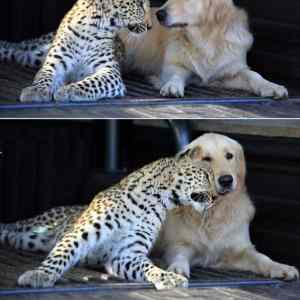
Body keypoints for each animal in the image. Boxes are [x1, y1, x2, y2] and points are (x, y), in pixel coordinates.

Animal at [0, 154, 217, 290]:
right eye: (206, 175)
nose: (216, 197)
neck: (154, 201)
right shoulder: (79, 233)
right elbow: (60, 255)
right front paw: (40, 275)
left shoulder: (125, 254)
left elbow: (147, 267)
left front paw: (168, 277)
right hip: (33, 226)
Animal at [6, 0, 152, 102]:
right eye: (139, 4)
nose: (150, 26)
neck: (92, 28)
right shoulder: (54, 63)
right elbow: (45, 75)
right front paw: (36, 90)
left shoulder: (110, 72)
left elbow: (93, 82)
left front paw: (68, 91)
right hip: (34, 51)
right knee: (15, 48)